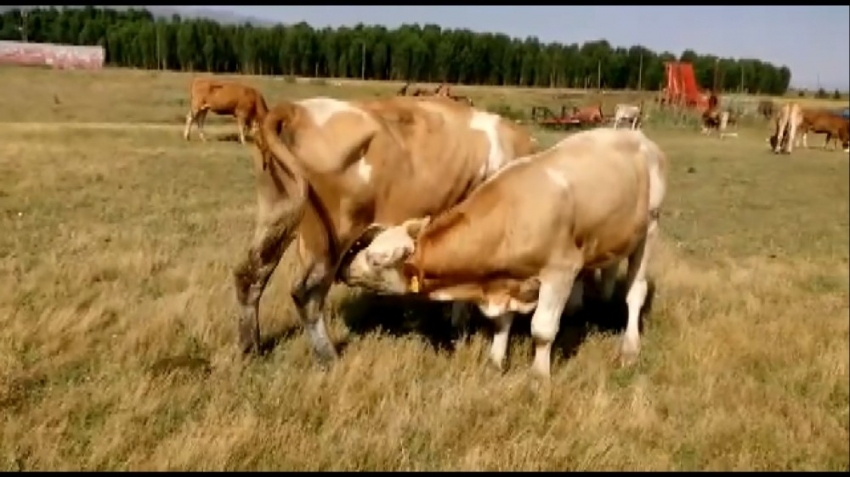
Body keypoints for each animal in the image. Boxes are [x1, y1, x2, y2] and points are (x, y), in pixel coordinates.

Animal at [232, 96, 532, 364]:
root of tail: (296, 109)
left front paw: (458, 329)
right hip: (328, 235)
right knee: (307, 293)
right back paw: (328, 356)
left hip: (278, 213)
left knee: (250, 275)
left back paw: (251, 349)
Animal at [344, 127, 668, 380]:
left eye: (375, 259)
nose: (345, 267)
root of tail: (635, 135)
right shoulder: (506, 280)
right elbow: (501, 324)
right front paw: (496, 361)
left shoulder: (560, 271)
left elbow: (542, 330)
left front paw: (539, 376)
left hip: (650, 230)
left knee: (635, 293)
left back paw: (630, 348)